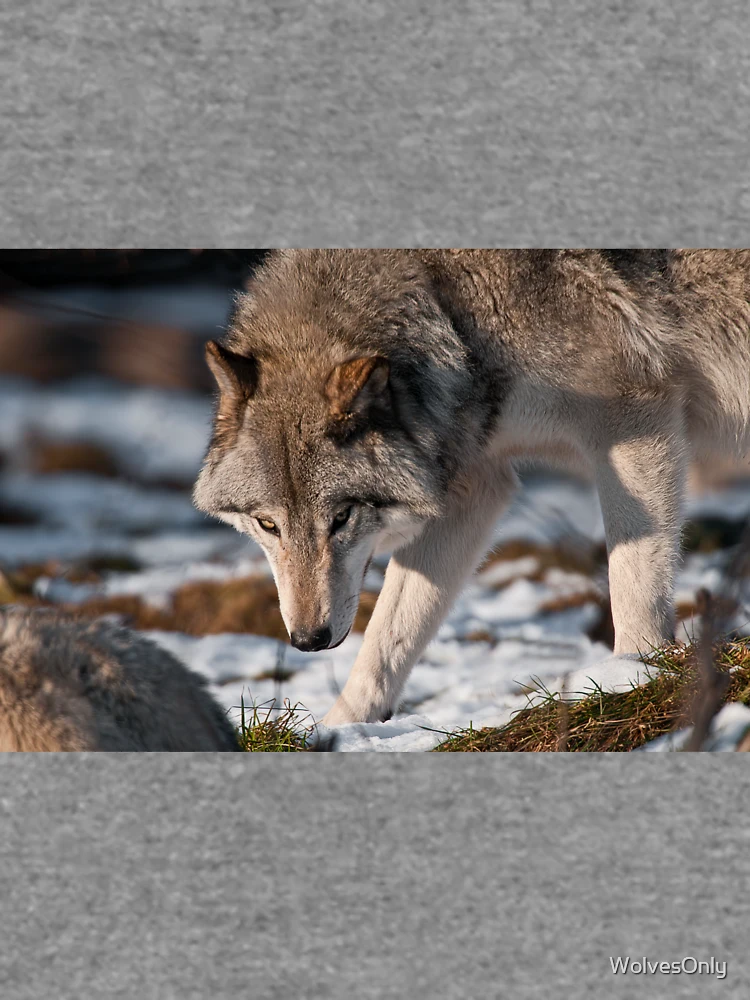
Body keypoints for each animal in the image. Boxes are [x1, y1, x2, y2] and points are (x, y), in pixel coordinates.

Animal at [194, 249, 750, 725]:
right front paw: (340, 732)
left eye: (342, 517)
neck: (452, 311)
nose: (308, 640)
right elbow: (386, 640)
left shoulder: (633, 421)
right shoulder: (475, 484)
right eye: (268, 524)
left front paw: (630, 681)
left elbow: (634, 587)